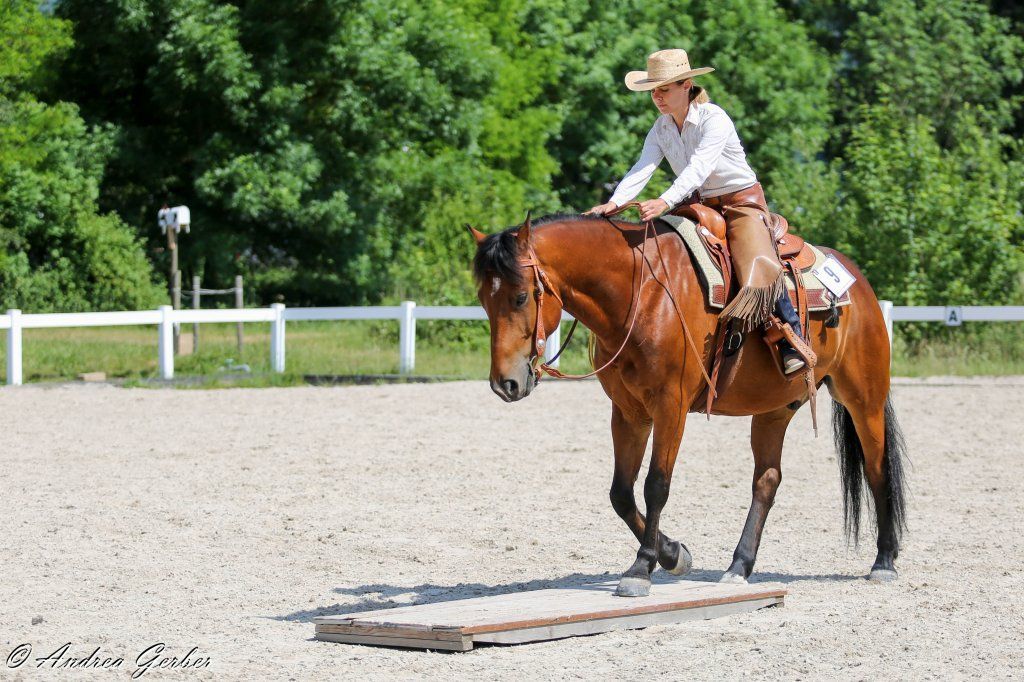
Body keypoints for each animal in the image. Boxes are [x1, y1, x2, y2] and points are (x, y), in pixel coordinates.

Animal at [467, 211, 908, 597]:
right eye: (484, 301)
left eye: (521, 296)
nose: (505, 383)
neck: (643, 291)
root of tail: (859, 285)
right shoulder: (628, 412)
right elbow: (620, 492)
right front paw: (674, 555)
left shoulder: (671, 407)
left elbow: (655, 485)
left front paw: (641, 567)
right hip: (773, 410)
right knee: (766, 480)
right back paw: (738, 566)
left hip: (863, 399)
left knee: (877, 470)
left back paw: (884, 562)